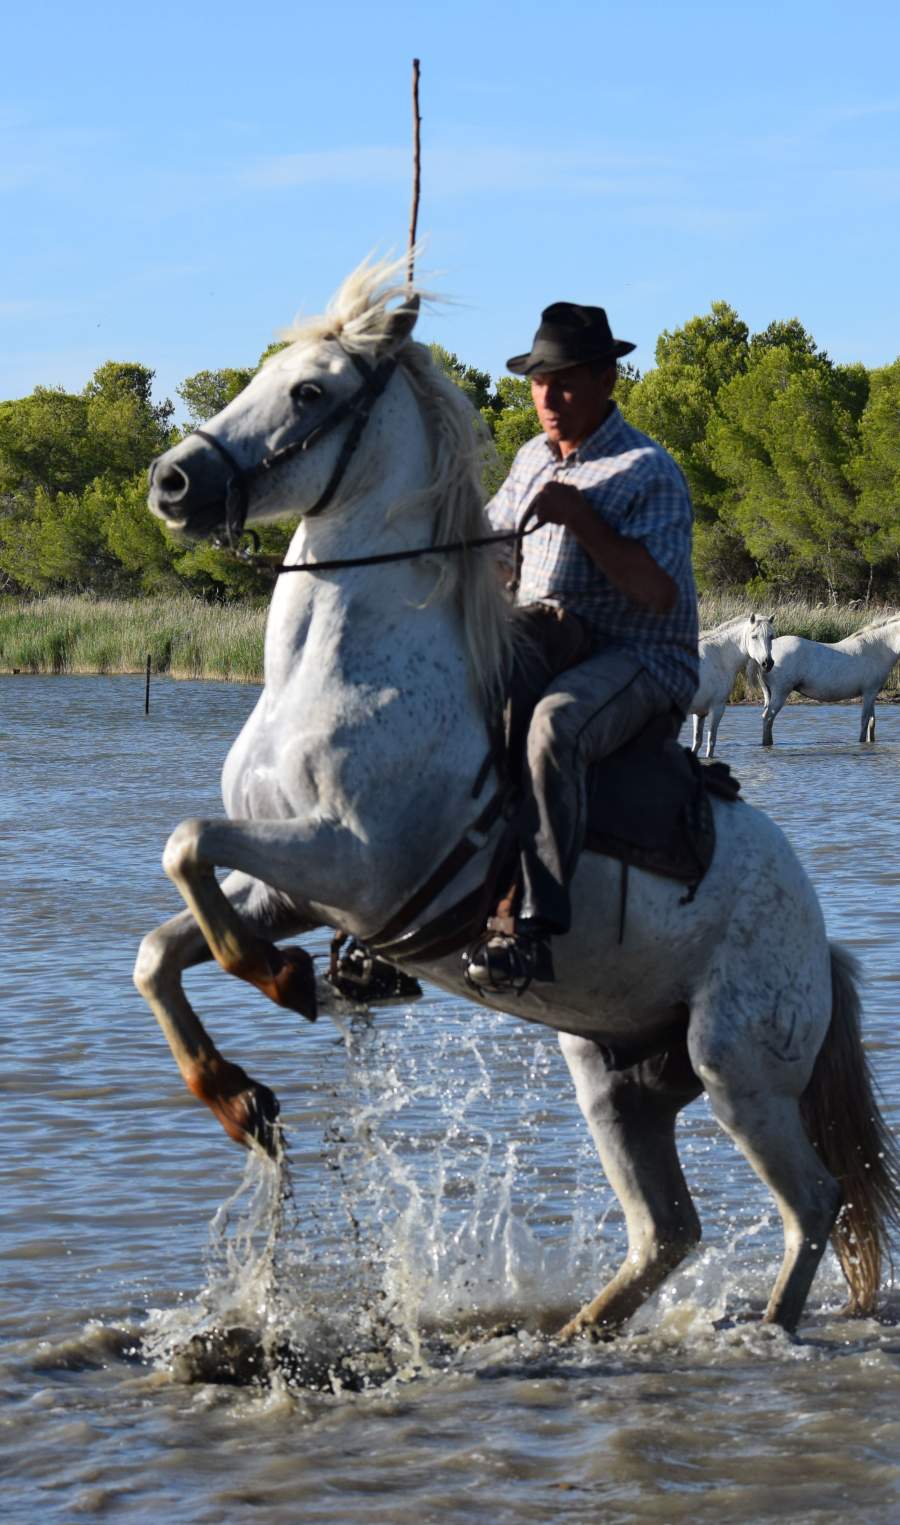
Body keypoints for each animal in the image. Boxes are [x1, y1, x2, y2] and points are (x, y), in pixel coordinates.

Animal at [692, 616, 774, 759]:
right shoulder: (717, 708)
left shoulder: (699, 712)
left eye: (771, 636)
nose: (767, 663)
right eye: (754, 636)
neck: (718, 655)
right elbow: (711, 742)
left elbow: (697, 741)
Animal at [762, 613, 900, 744]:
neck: (876, 649)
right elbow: (865, 720)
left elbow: (872, 722)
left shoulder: (873, 693)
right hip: (781, 692)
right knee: (768, 718)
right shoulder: (869, 693)